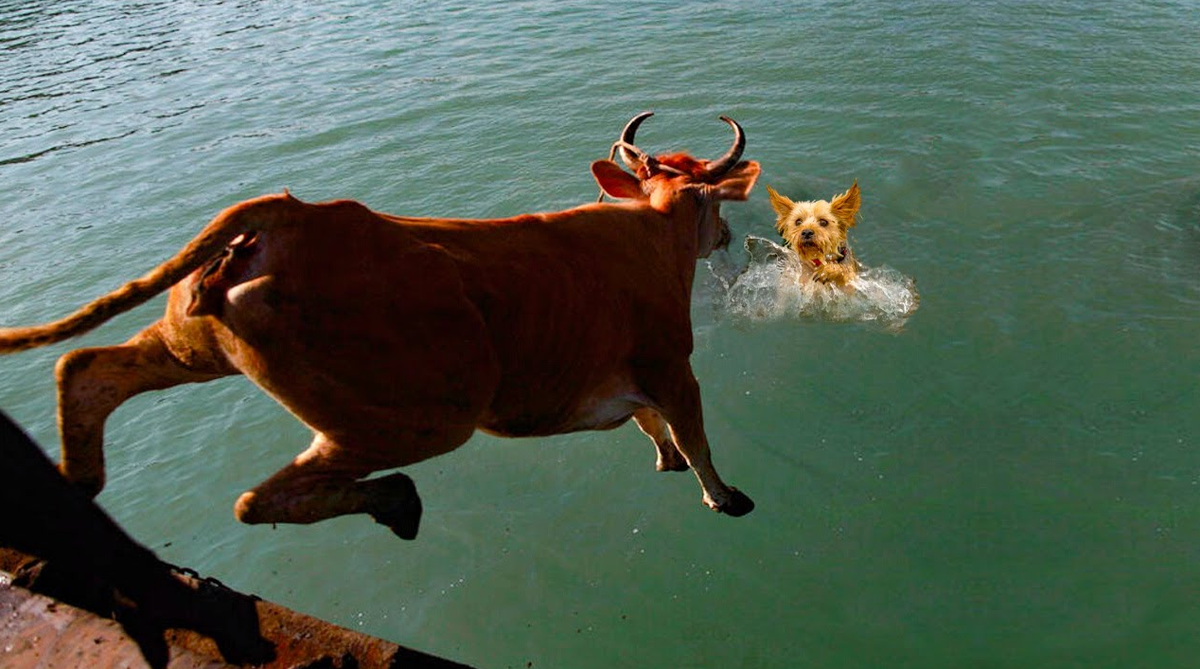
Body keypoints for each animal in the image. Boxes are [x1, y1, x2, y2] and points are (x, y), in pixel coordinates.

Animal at [0, 111, 758, 539]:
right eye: (714, 202)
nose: (722, 237)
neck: (647, 229)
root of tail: (296, 214)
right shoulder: (672, 366)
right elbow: (693, 436)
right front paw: (723, 496)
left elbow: (652, 427)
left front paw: (663, 460)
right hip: (414, 416)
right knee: (255, 499)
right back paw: (393, 500)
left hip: (192, 344)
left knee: (88, 368)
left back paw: (80, 480)